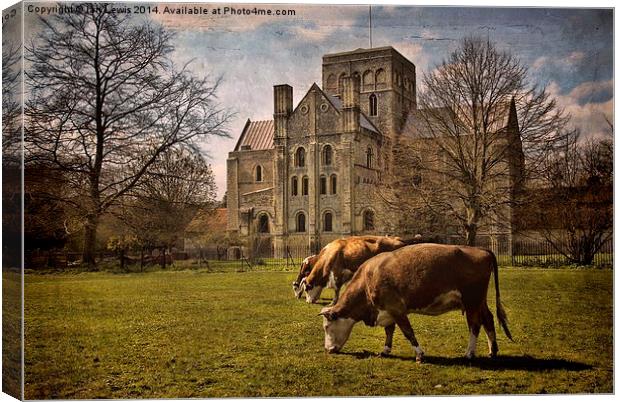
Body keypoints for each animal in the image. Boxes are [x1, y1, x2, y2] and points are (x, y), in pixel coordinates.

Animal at [318, 243, 512, 362]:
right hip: (479, 301)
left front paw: (419, 354)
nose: (328, 349)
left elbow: (407, 332)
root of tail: (482, 250)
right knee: (488, 319)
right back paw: (492, 350)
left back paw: (470, 353)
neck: (368, 278)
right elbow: (389, 331)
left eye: (327, 327)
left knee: (475, 325)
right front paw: (385, 350)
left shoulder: (396, 308)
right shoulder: (387, 311)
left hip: (471, 301)